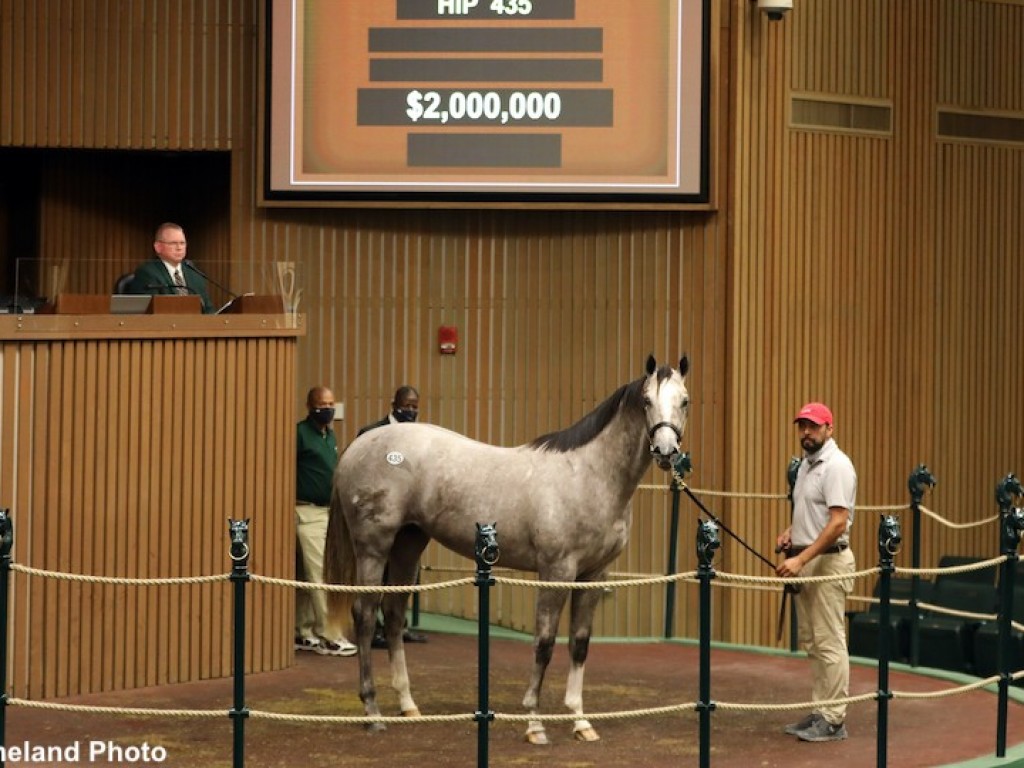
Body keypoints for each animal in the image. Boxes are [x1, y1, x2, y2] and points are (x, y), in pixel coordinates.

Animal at [327, 356, 692, 745]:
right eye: (646, 401)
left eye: (684, 401)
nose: (666, 452)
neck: (588, 475)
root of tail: (358, 446)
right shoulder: (556, 572)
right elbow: (544, 643)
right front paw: (535, 725)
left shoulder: (594, 575)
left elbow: (579, 644)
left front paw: (581, 722)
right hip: (373, 547)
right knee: (366, 615)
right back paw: (372, 711)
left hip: (408, 544)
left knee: (394, 614)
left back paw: (408, 706)